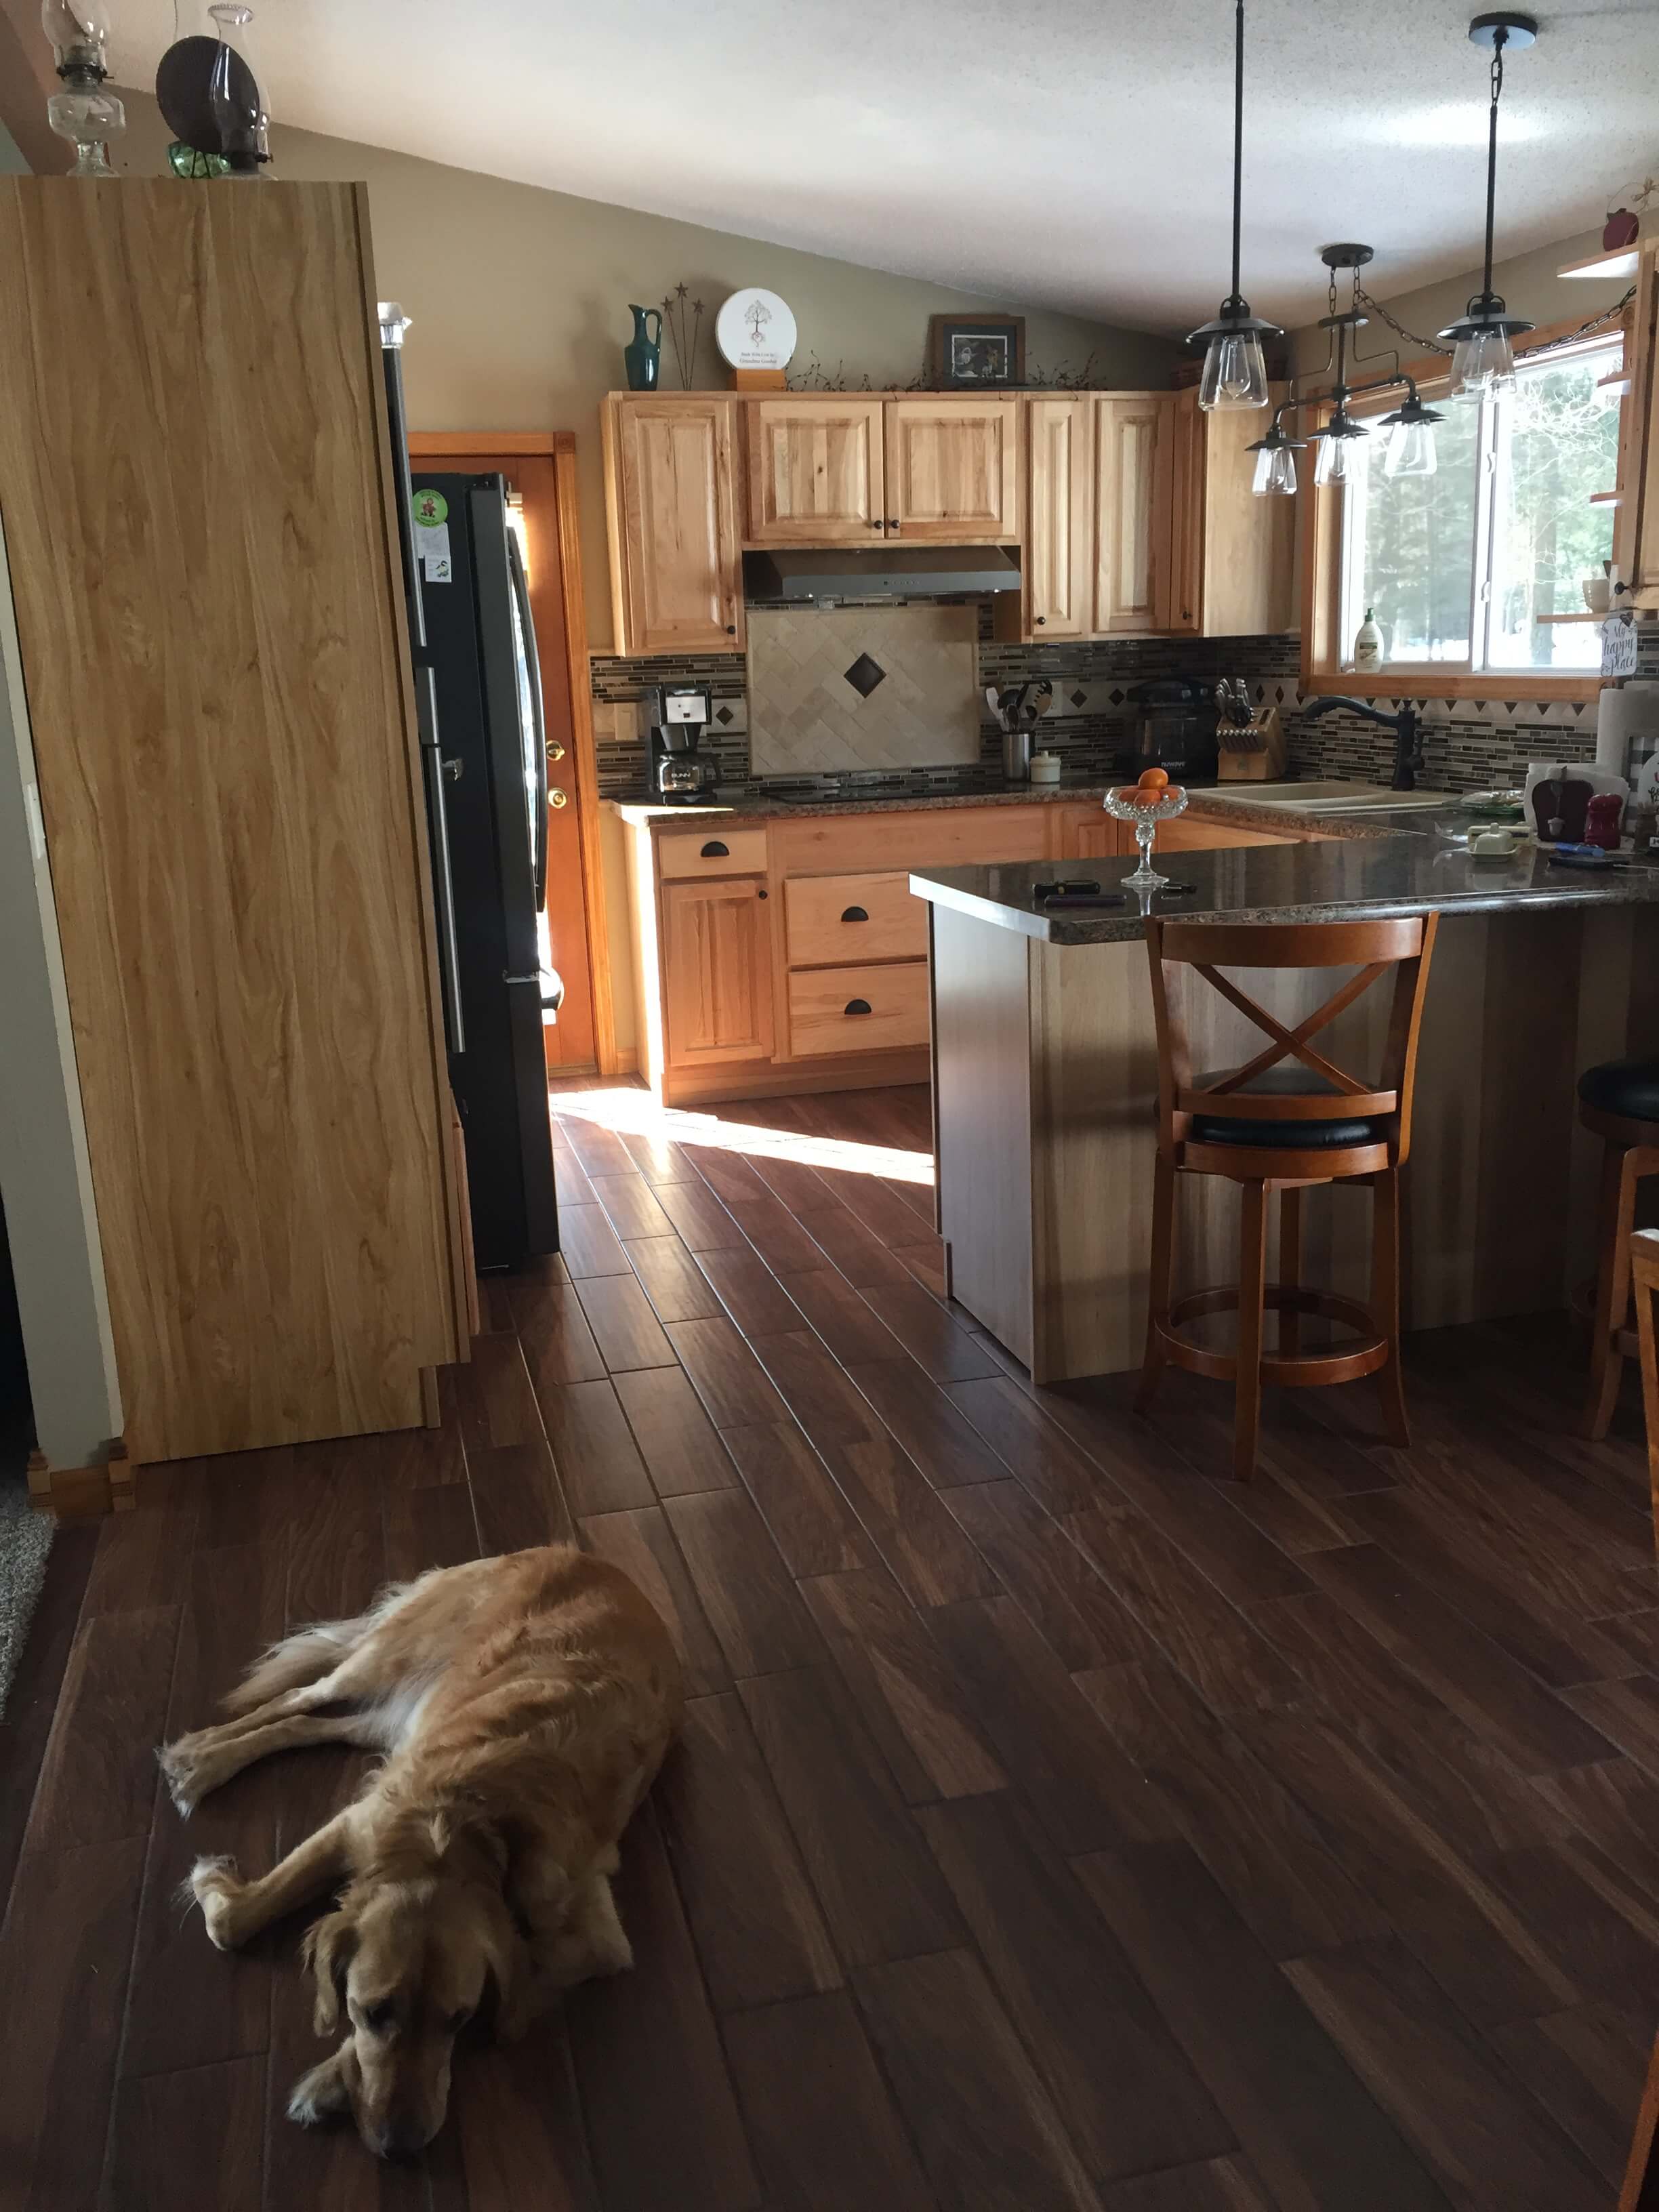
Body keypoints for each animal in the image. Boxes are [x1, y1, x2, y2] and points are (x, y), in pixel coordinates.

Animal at [155, 1548, 676, 2150]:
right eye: (370, 2012)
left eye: (459, 2019)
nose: (400, 2147)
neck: (463, 1823)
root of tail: (578, 1554)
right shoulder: (359, 1822)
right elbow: (233, 1921)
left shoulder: (595, 1936)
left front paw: (330, 2080)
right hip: (387, 1661)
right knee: (300, 1696)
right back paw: (201, 1757)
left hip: (403, 1714)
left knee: (311, 1722)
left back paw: (204, 1761)